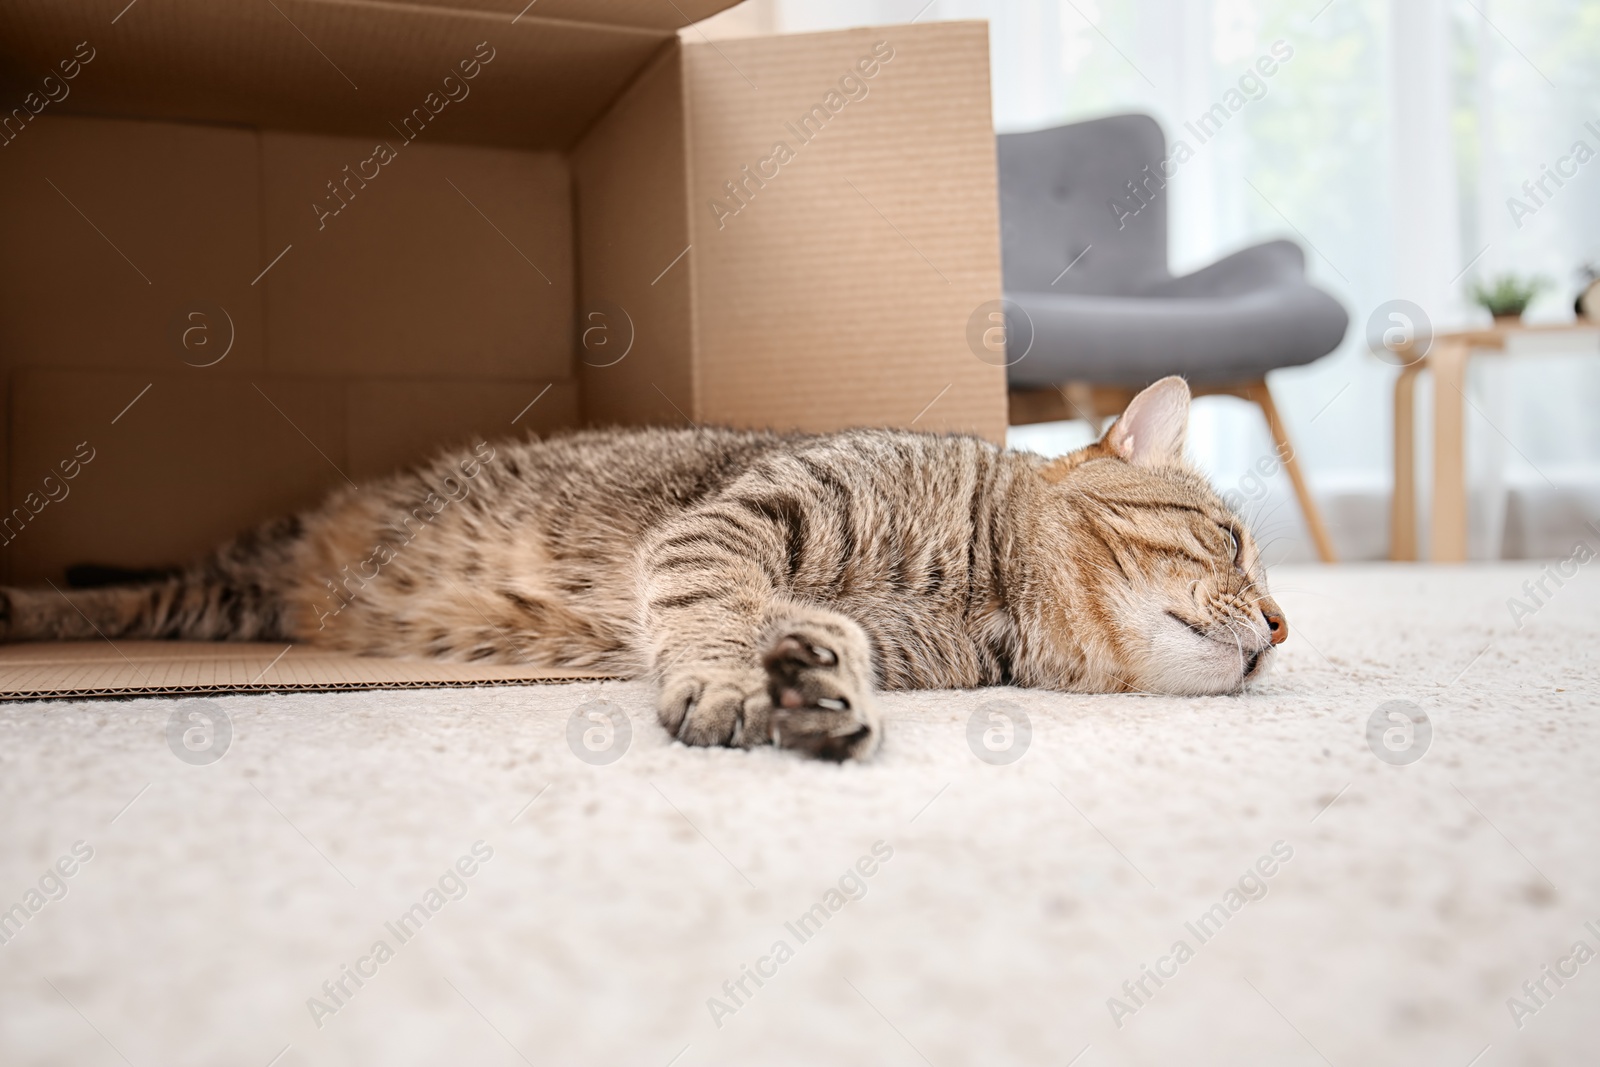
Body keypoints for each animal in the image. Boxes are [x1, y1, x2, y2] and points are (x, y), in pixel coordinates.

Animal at [0, 375, 1280, 758]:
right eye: (1230, 541)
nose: (1280, 628)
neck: (982, 585)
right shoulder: (739, 525)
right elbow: (710, 608)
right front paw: (723, 678)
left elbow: (827, 638)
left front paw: (817, 680)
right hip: (228, 574)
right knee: (121, 594)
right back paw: (26, 603)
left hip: (235, 601)